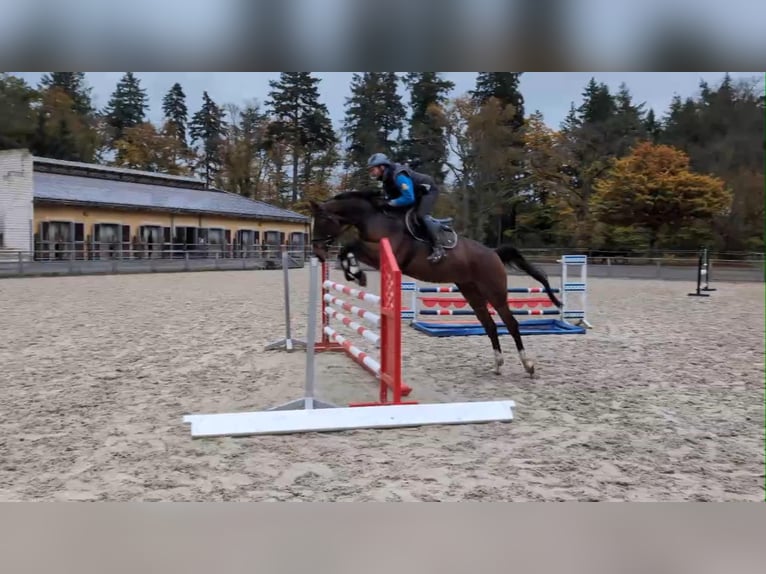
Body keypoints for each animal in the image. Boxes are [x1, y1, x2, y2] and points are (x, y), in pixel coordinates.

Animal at [308, 190, 564, 378]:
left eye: (323, 220)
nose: (318, 253)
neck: (375, 218)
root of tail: (494, 253)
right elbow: (347, 249)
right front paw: (354, 273)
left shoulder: (385, 254)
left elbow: (350, 245)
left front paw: (356, 273)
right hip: (472, 293)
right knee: (490, 326)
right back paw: (498, 364)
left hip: (495, 292)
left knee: (511, 324)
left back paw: (528, 364)